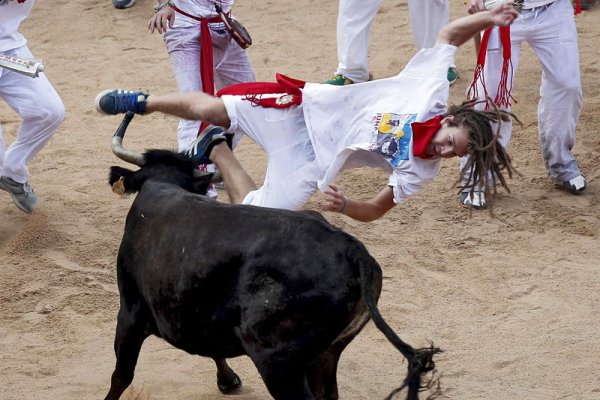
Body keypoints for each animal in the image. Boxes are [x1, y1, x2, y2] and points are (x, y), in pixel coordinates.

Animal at [104, 112, 440, 400]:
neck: (164, 185)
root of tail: (351, 249)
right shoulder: (203, 314)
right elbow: (212, 348)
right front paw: (228, 381)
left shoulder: (130, 312)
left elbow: (121, 375)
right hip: (326, 353)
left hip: (276, 361)